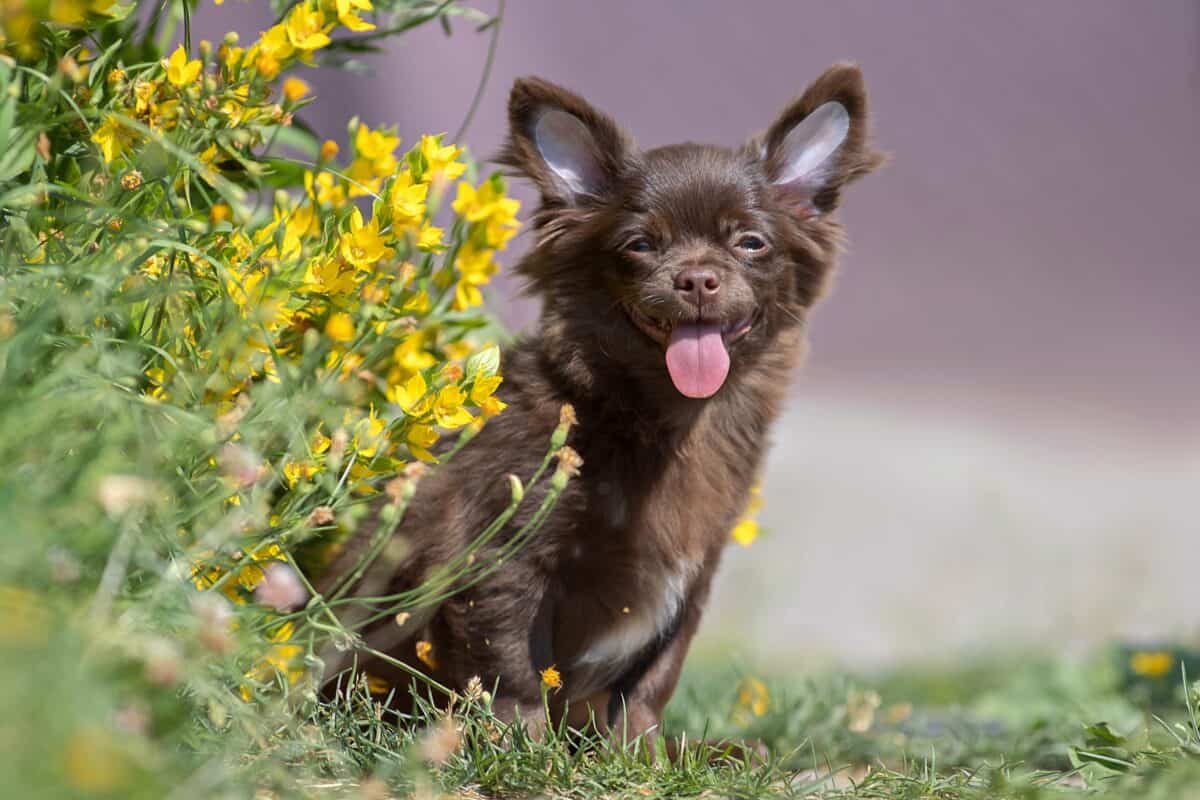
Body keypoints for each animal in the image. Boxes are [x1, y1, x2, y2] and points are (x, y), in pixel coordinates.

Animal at [328, 62, 883, 753]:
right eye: (641, 245)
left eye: (751, 243)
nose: (696, 278)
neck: (662, 416)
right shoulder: (503, 555)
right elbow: (513, 664)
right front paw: (526, 752)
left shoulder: (692, 577)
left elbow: (650, 681)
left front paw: (641, 758)